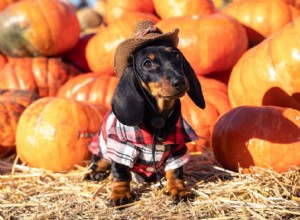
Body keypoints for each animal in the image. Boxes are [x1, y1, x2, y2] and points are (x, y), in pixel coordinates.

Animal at [85, 40, 205, 207]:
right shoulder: (121, 147)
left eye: (176, 55)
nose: (180, 82)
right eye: (147, 63)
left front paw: (179, 190)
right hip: (102, 149)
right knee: (99, 162)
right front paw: (120, 194)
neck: (158, 118)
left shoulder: (177, 149)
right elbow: (121, 173)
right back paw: (96, 174)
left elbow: (175, 172)